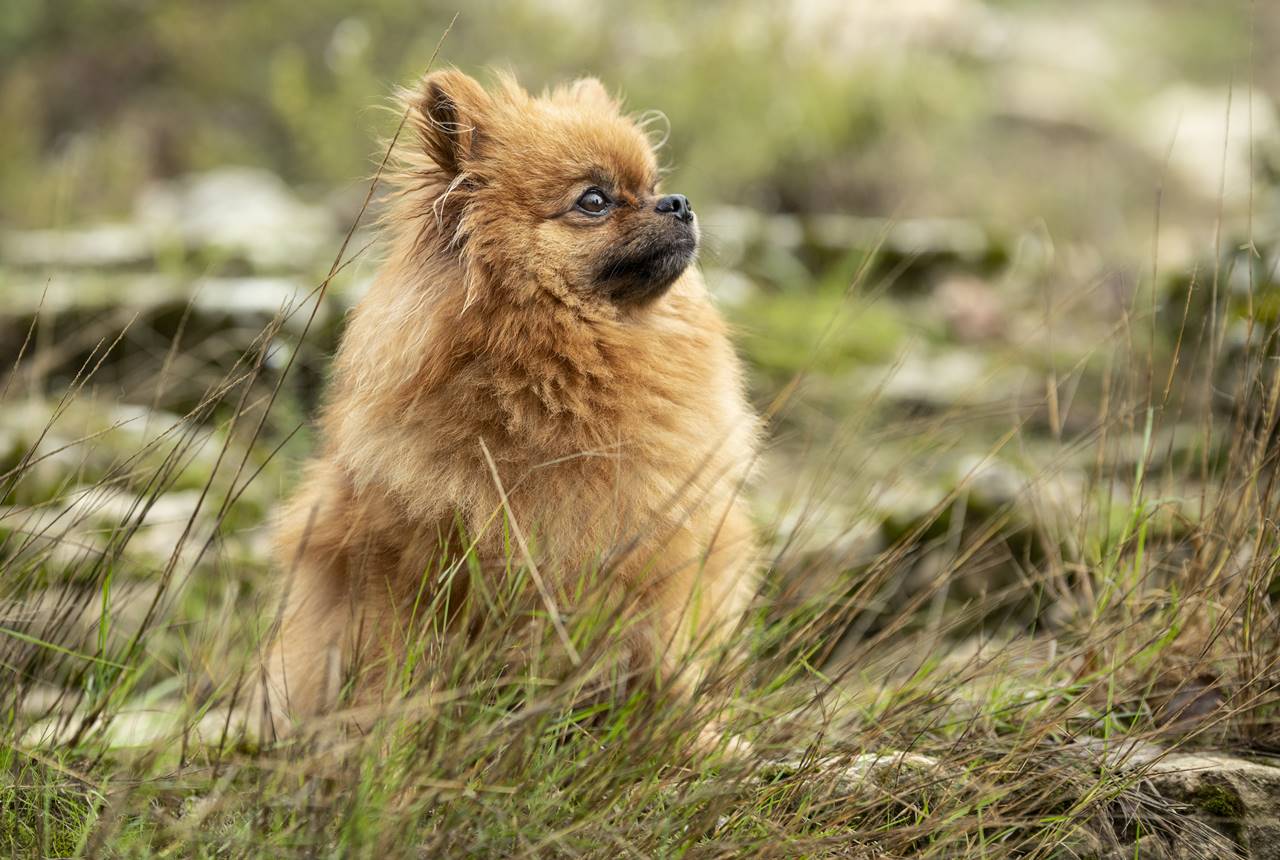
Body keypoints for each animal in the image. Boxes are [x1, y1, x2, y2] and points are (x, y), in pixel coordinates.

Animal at [259, 70, 757, 737]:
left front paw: (694, 742)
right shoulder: (405, 573)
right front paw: (391, 745)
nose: (677, 202)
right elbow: (396, 677)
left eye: (651, 187)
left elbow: (667, 670)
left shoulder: (660, 561)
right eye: (594, 200)